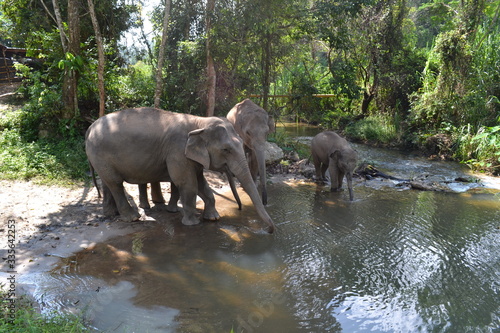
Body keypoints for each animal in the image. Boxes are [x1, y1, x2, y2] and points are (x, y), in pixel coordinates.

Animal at [85, 107, 274, 232]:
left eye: (241, 144)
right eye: (226, 150)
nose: (270, 231)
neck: (199, 122)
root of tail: (90, 127)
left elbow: (202, 184)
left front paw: (213, 218)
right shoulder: (177, 151)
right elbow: (188, 183)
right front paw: (192, 223)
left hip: (100, 158)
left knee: (108, 183)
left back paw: (111, 213)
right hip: (99, 153)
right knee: (115, 183)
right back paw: (132, 218)